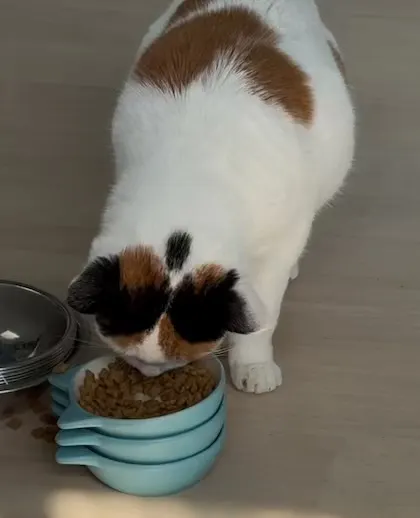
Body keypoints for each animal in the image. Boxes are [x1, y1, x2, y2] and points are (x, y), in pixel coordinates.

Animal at [67, 0, 355, 393]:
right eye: (134, 358)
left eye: (175, 361)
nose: (150, 375)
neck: (191, 178)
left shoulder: (278, 243)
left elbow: (262, 315)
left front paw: (253, 363)